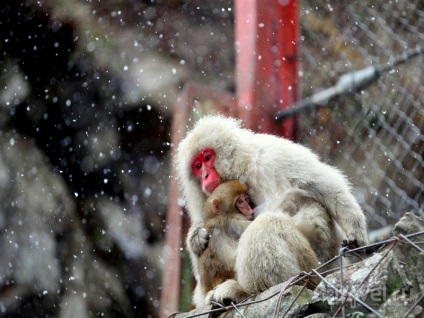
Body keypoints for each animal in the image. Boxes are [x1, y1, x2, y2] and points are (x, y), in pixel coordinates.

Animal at [176, 114, 368, 306]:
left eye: (208, 157)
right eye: (197, 166)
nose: (205, 176)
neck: (241, 170)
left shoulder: (270, 156)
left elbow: (322, 185)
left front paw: (356, 231)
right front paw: (195, 236)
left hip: (315, 265)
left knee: (269, 224)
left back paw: (246, 291)